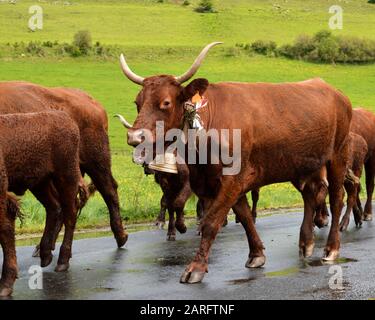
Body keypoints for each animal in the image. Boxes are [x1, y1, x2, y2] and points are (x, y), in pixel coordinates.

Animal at [0, 111, 86, 296]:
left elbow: (5, 230)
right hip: (40, 182)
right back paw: (46, 254)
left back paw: (62, 261)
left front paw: (5, 285)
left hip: (65, 176)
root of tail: (65, 117)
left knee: (70, 213)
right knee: (54, 208)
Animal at [119, 42, 352, 282]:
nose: (135, 137)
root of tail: (335, 92)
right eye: (137, 102)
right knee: (310, 195)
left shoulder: (233, 179)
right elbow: (245, 216)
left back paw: (331, 249)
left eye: (165, 102)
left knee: (337, 199)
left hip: (338, 155)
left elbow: (212, 221)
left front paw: (196, 267)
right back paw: (306, 243)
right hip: (302, 165)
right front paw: (257, 254)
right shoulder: (220, 182)